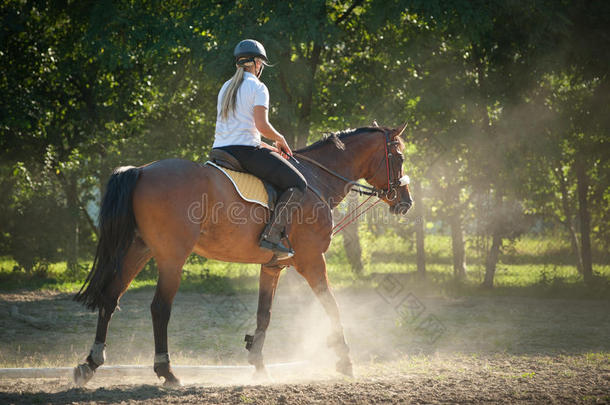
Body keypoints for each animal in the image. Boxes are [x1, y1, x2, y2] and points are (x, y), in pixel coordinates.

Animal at [72, 122, 414, 386]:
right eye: (397, 156)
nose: (406, 202)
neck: (318, 181)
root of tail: (142, 171)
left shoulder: (273, 267)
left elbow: (265, 314)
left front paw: (259, 365)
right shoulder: (312, 260)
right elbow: (332, 306)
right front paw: (345, 360)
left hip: (137, 251)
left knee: (110, 298)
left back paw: (90, 364)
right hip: (171, 259)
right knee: (159, 309)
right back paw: (166, 371)